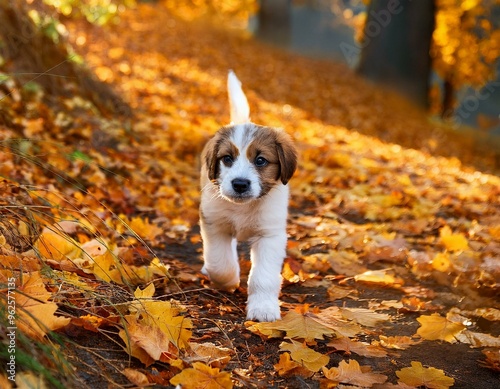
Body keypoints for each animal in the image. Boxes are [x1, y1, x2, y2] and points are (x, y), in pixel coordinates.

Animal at [198, 70, 296, 322]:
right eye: (227, 159)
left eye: (260, 160)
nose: (240, 184)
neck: (242, 209)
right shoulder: (214, 223)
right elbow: (220, 263)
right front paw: (228, 281)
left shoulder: (270, 235)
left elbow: (264, 276)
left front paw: (263, 308)